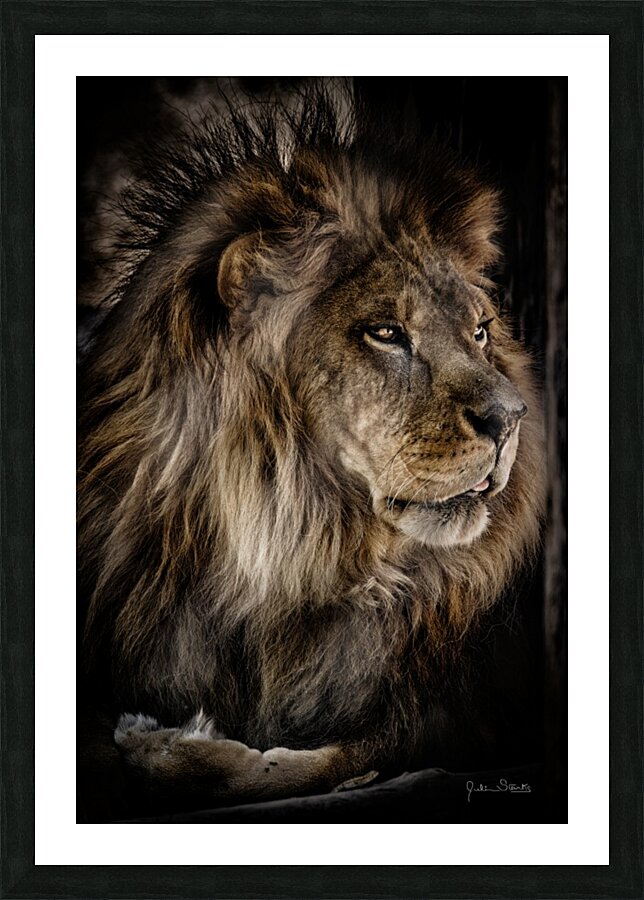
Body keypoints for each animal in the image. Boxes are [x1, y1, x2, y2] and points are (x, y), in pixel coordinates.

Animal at [77, 84, 545, 819]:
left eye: (479, 332)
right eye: (385, 332)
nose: (510, 416)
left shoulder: (437, 718)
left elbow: (319, 762)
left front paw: (162, 750)